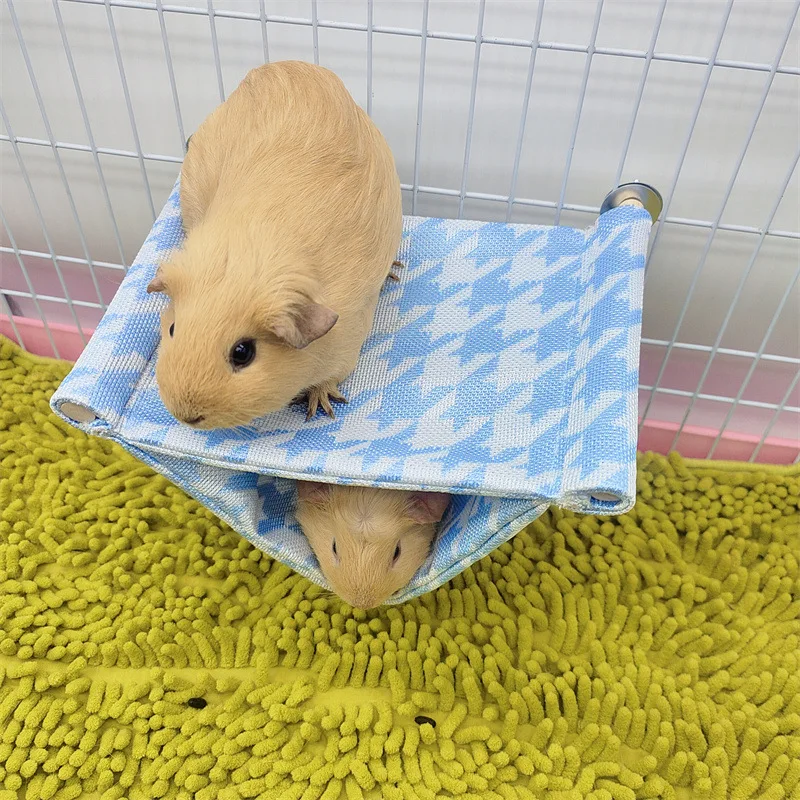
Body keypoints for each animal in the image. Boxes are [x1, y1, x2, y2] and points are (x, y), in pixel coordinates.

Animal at [146, 61, 403, 429]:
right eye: (172, 327)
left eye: (243, 352)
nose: (185, 416)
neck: (244, 254)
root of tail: (279, 67)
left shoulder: (347, 343)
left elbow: (330, 377)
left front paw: (320, 405)